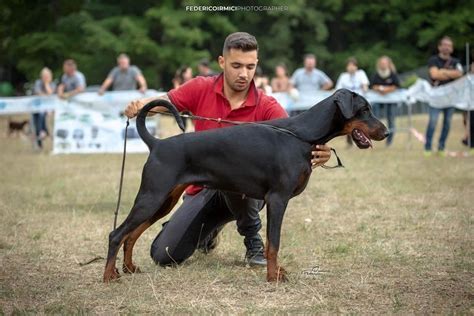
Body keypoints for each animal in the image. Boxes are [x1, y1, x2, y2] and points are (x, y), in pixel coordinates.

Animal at [103, 88, 386, 282]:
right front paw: (273, 277)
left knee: (132, 235)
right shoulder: (277, 199)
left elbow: (272, 242)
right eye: (364, 109)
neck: (302, 135)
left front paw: (276, 272)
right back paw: (109, 276)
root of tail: (157, 143)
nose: (385, 132)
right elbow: (274, 243)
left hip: (163, 201)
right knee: (117, 234)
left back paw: (129, 268)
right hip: (152, 195)